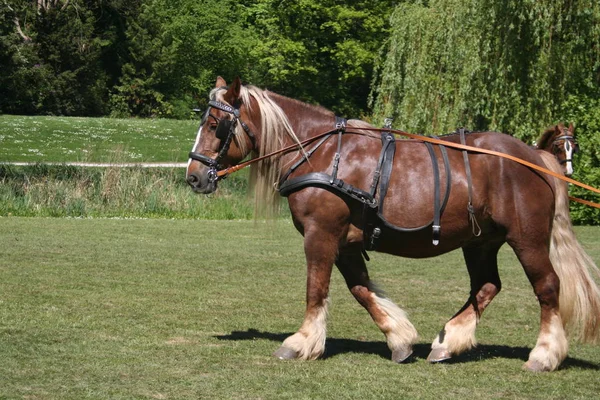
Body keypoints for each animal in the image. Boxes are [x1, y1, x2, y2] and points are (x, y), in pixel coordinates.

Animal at [184, 77, 600, 372]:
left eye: (217, 124)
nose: (193, 176)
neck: (322, 153)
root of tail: (534, 156)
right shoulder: (346, 242)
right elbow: (361, 290)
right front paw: (399, 339)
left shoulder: (321, 234)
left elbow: (316, 289)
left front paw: (301, 342)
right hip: (480, 241)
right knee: (486, 286)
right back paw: (447, 342)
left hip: (527, 238)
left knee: (547, 287)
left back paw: (543, 354)